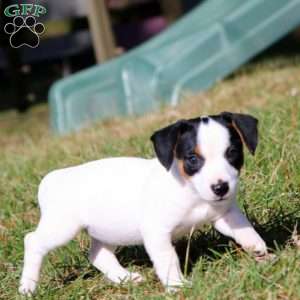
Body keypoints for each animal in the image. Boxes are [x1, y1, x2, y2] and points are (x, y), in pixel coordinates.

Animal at [18, 111, 268, 294]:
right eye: (193, 158)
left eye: (232, 152)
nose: (221, 187)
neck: (190, 191)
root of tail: (53, 179)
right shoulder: (156, 232)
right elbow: (168, 259)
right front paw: (177, 286)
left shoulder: (224, 214)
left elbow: (244, 229)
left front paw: (259, 250)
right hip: (62, 228)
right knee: (33, 241)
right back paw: (28, 287)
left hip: (108, 230)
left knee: (97, 254)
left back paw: (125, 278)